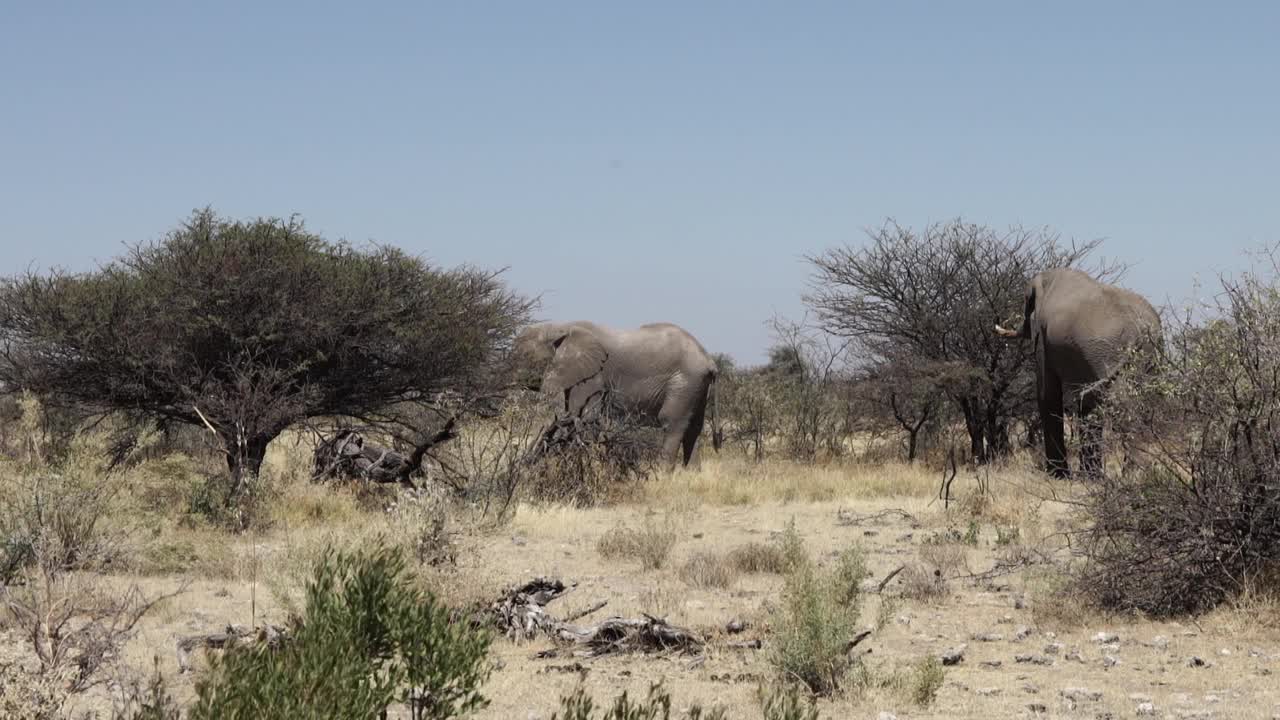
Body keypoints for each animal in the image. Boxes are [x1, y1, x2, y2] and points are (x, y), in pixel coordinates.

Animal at [512, 317, 721, 466]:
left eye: (524, 356)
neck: (559, 328)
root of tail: (709, 361)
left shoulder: (592, 375)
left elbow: (582, 415)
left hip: (684, 383)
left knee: (672, 424)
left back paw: (662, 475)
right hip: (697, 387)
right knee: (694, 428)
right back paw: (690, 475)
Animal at [993, 266, 1167, 479]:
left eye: (1027, 304)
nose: (997, 322)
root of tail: (1143, 329)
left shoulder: (1043, 337)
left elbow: (1047, 394)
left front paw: (1058, 476)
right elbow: (1087, 402)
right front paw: (1091, 478)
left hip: (1111, 351)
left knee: (1120, 402)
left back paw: (1133, 475)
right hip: (1149, 353)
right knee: (1144, 400)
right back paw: (1142, 473)